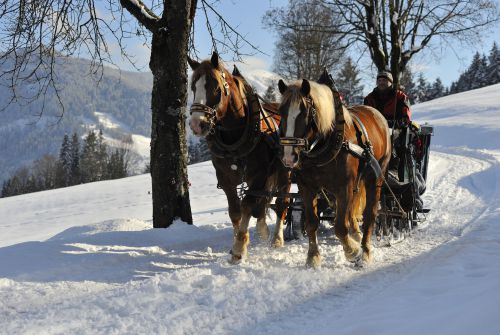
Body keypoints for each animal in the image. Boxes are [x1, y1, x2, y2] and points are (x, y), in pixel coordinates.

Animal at [278, 78, 390, 268]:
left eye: (305, 113)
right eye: (281, 112)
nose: (288, 157)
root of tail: (377, 114)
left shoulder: (344, 187)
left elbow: (340, 227)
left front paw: (352, 251)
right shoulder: (307, 187)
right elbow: (311, 223)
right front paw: (313, 257)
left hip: (375, 176)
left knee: (370, 213)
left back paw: (365, 252)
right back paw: (356, 234)